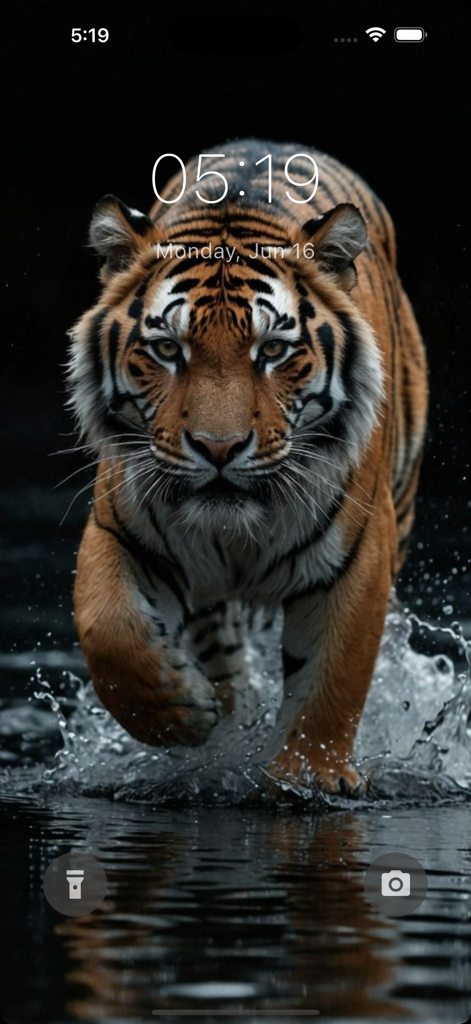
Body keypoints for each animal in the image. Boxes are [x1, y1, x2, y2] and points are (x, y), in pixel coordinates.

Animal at [67, 139, 428, 795]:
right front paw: (183, 713)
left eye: (274, 351)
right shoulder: (119, 527)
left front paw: (311, 776)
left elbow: (332, 679)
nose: (219, 447)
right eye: (167, 349)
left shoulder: (361, 550)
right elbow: (108, 630)